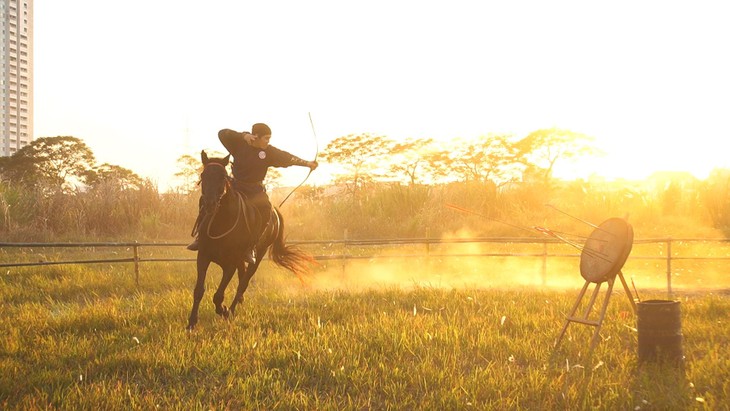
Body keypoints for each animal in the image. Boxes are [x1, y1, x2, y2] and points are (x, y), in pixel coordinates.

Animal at [185, 150, 312, 330]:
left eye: (223, 176)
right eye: (203, 175)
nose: (209, 204)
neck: (221, 223)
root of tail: (275, 212)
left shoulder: (230, 264)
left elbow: (218, 295)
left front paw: (224, 311)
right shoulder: (203, 256)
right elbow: (199, 290)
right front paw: (191, 322)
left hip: (258, 255)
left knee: (244, 282)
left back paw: (231, 310)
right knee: (242, 277)